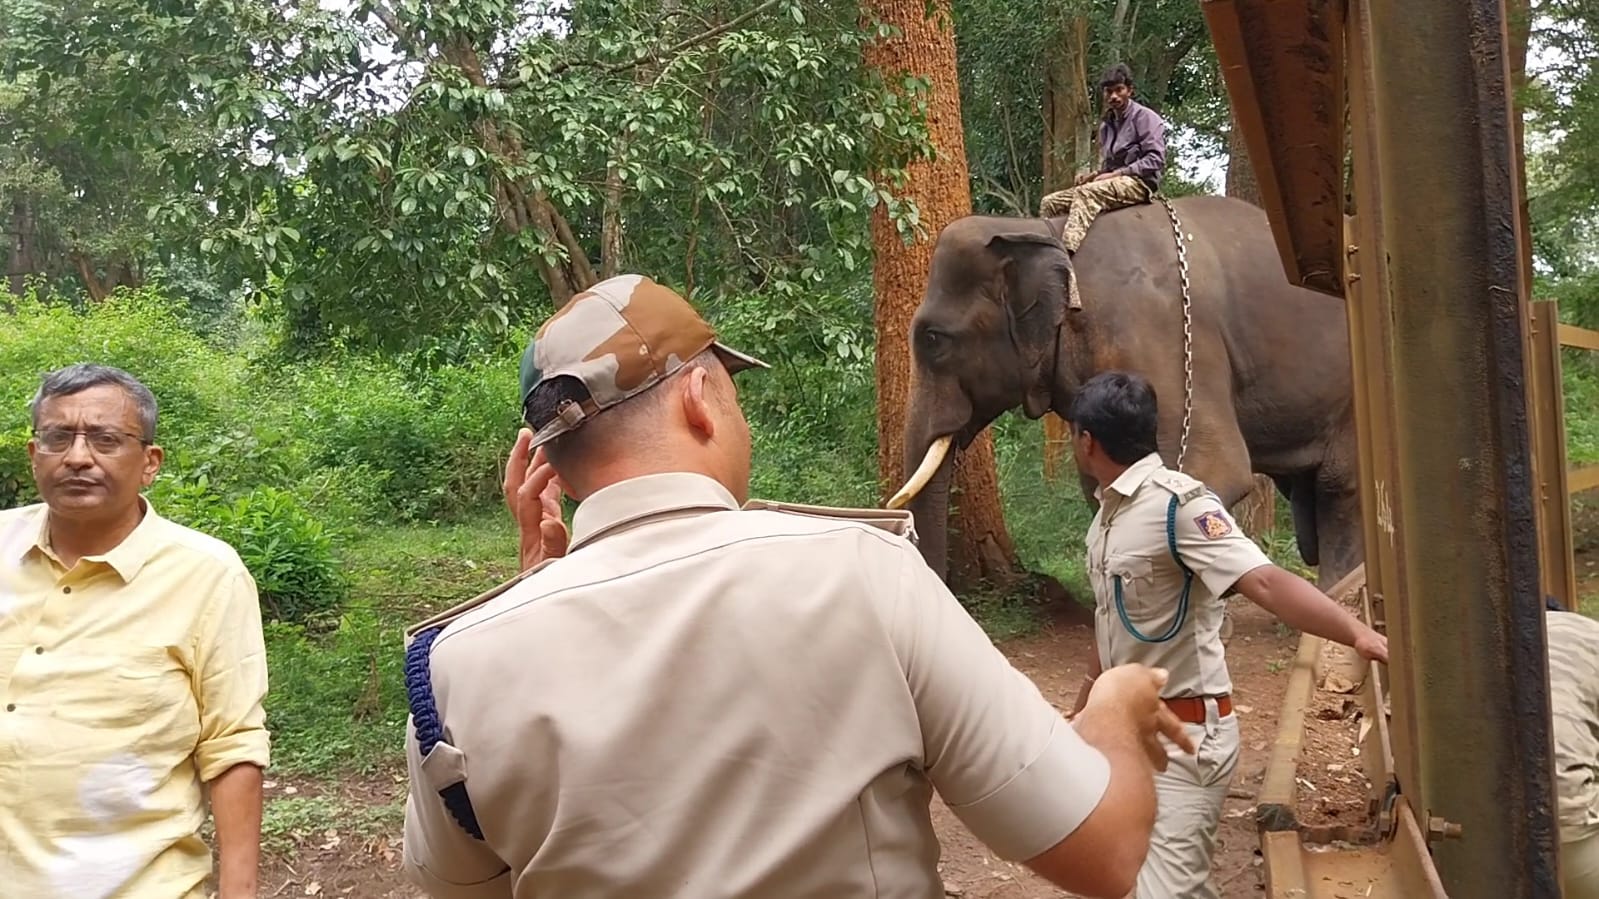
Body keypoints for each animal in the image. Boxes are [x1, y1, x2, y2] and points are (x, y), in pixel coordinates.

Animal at [889, 195, 1362, 588]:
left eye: (933, 339)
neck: (1042, 230)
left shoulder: (1161, 341)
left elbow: (1206, 471)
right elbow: (1099, 484)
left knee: (1339, 491)